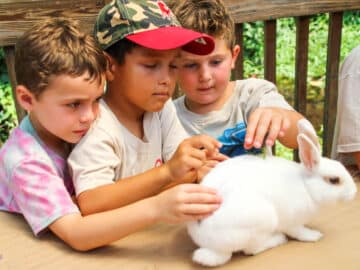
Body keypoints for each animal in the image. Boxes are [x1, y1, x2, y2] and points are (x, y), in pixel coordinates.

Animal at [188, 119, 358, 266]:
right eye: (334, 180)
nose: (353, 192)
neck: (306, 187)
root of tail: (212, 246)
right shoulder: (293, 222)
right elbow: (299, 232)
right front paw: (314, 235)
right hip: (262, 220)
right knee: (252, 249)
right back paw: (278, 239)